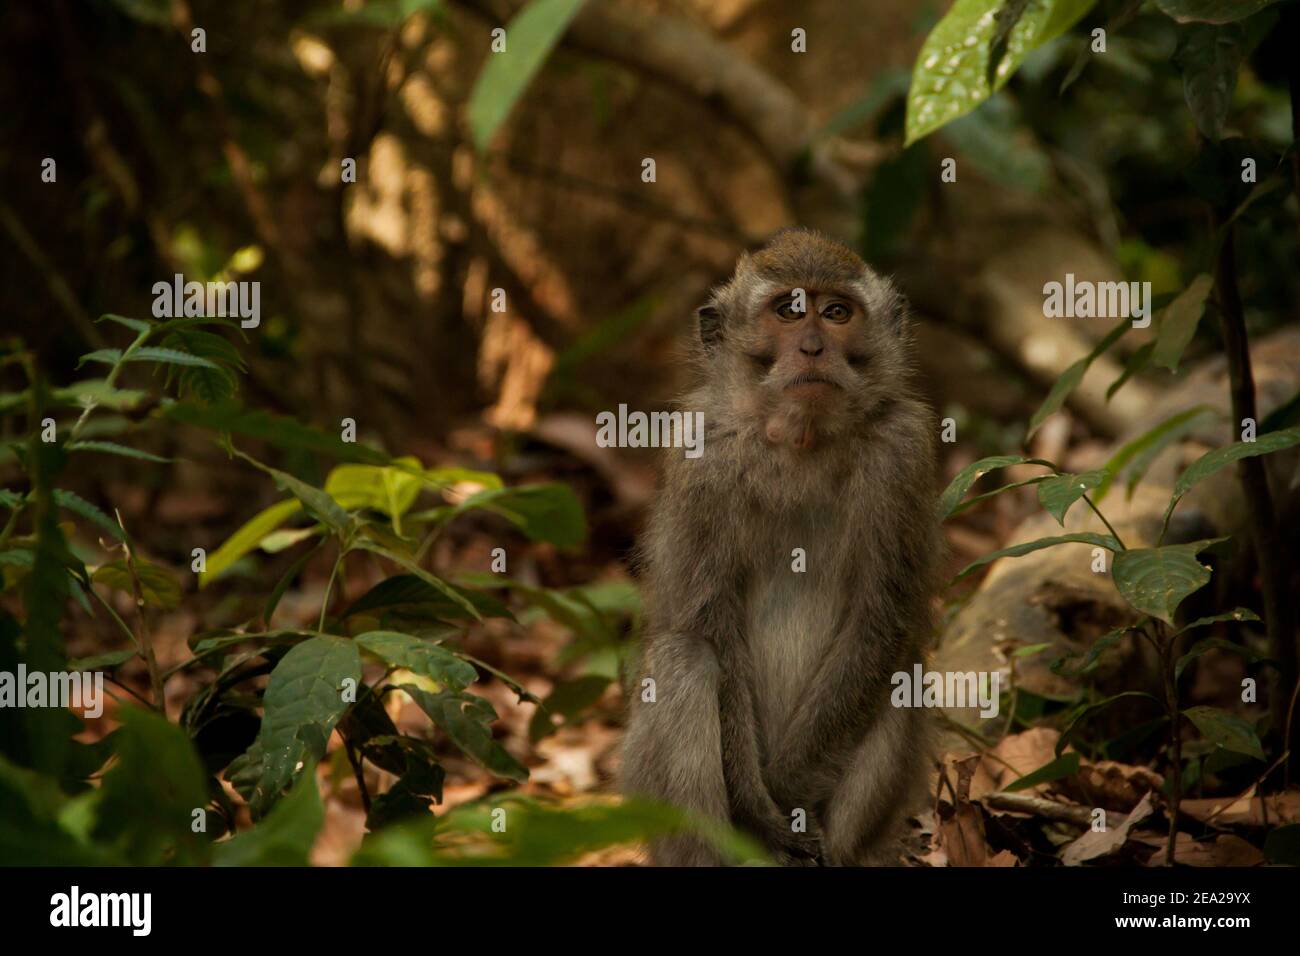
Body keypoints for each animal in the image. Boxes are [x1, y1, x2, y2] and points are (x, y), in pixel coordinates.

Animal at [621, 230, 941, 868]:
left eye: (837, 313)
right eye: (790, 312)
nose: (814, 347)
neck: (801, 438)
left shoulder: (904, 451)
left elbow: (881, 623)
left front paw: (790, 796)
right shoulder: (704, 456)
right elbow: (710, 621)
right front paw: (763, 808)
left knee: (903, 668)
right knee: (684, 658)